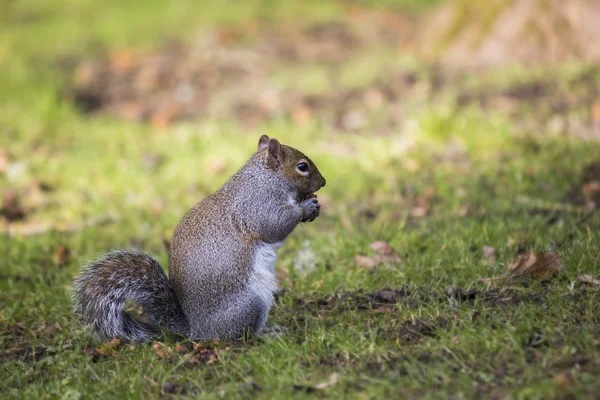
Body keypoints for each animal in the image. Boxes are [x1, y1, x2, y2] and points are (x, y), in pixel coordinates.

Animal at [72, 135, 326, 340]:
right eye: (302, 166)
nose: (323, 182)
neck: (265, 177)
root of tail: (197, 330)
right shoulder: (257, 205)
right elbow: (273, 225)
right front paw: (306, 207)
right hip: (252, 301)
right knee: (240, 336)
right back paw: (264, 335)